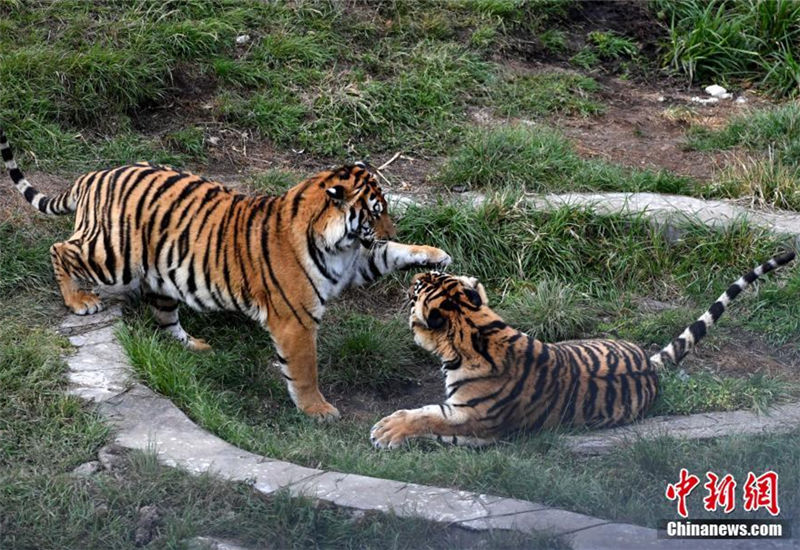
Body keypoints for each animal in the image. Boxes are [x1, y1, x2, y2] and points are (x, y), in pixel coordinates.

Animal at [0, 128, 451, 420]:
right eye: (376, 212)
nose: (390, 229)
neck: (339, 244)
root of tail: (93, 175)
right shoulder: (296, 321)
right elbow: (305, 370)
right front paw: (318, 410)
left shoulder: (356, 263)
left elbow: (391, 255)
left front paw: (436, 255)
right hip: (113, 256)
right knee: (60, 249)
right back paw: (79, 301)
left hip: (163, 272)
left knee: (164, 316)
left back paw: (194, 347)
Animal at [371, 251, 795, 448]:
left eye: (417, 288)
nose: (416, 273)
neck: (476, 325)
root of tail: (649, 364)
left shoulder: (473, 417)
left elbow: (428, 416)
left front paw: (386, 430)